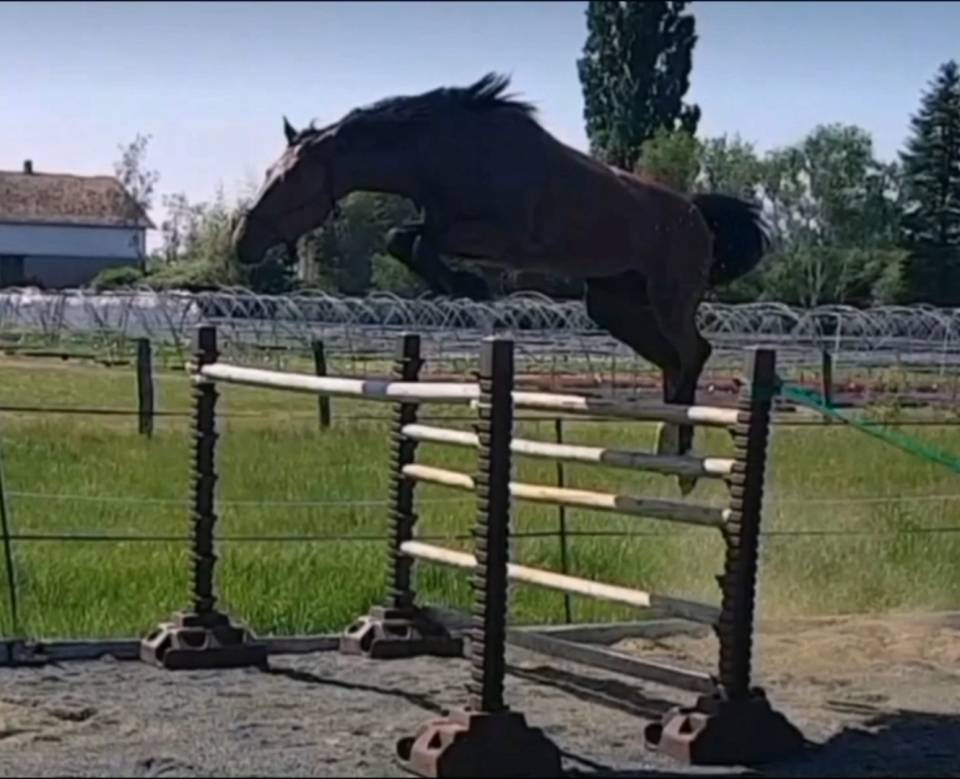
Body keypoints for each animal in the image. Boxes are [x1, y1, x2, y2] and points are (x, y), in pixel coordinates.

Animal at [232, 73, 770, 494]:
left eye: (290, 181)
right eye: (270, 172)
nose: (242, 242)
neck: (444, 152)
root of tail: (696, 214)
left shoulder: (498, 236)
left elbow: (415, 241)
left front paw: (470, 285)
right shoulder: (444, 221)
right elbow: (403, 239)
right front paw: (461, 283)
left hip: (667, 296)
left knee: (694, 351)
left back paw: (682, 460)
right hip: (614, 304)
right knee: (672, 359)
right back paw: (668, 445)